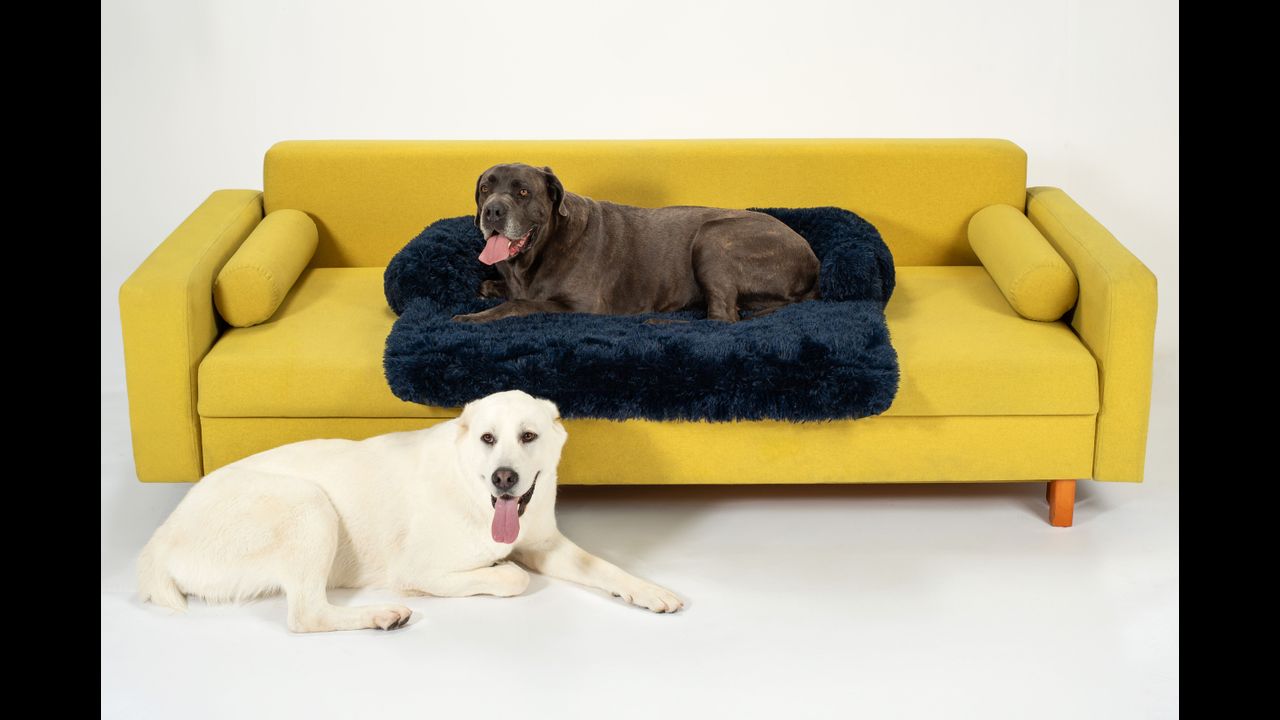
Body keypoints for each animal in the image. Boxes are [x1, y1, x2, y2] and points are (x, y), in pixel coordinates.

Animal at [137, 390, 683, 632]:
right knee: (307, 615)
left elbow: (604, 566)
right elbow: (512, 576)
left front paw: (649, 591)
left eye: (528, 436)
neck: (471, 489)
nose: (504, 478)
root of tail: (156, 543)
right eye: (488, 439)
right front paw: (499, 567)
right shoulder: (418, 568)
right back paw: (383, 614)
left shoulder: (546, 545)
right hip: (309, 506)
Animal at [454, 163, 821, 323]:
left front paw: (472, 317)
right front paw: (491, 289)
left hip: (713, 240)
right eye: (485, 188)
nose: (493, 210)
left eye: (522, 191)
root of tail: (813, 262)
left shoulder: (584, 306)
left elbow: (521, 303)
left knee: (722, 319)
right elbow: (504, 290)